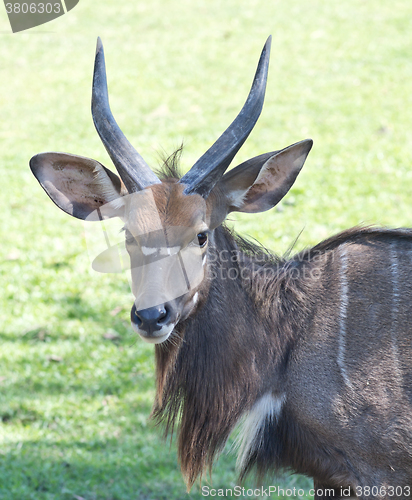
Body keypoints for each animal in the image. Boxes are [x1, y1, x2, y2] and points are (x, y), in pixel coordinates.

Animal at [29, 37, 412, 498]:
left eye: (200, 235)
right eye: (128, 234)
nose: (151, 316)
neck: (287, 335)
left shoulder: (379, 471)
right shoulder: (330, 476)